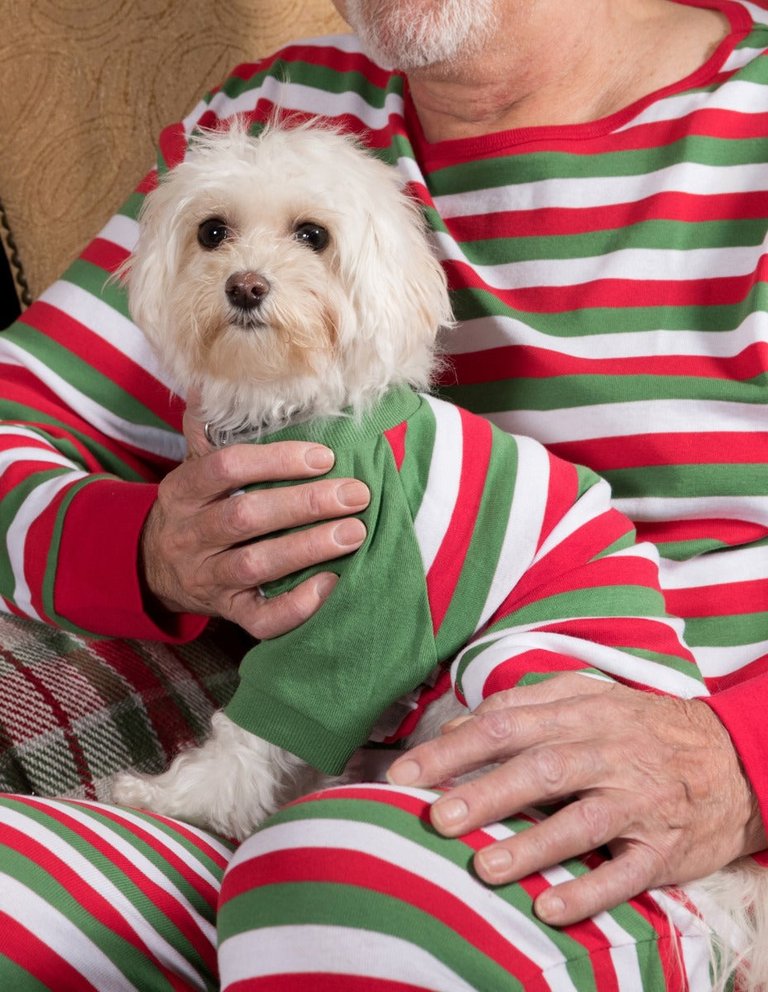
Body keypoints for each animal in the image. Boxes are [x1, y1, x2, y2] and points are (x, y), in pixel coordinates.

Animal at [114, 118, 768, 992]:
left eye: (313, 236)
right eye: (211, 232)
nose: (245, 287)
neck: (295, 405)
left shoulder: (359, 611)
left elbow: (265, 721)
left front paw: (187, 796)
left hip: (515, 666)